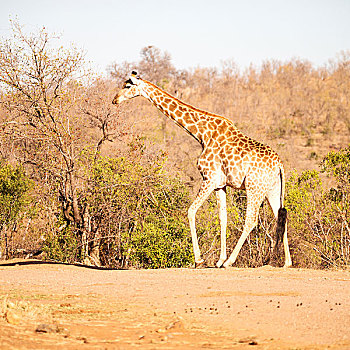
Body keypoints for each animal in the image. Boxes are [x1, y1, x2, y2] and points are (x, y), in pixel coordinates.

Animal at [112, 71, 292, 268]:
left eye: (127, 86)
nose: (114, 100)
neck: (201, 134)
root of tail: (280, 165)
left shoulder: (209, 178)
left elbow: (191, 211)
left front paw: (199, 259)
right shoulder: (220, 184)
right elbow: (222, 218)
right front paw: (219, 260)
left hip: (254, 188)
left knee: (251, 221)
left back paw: (232, 261)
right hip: (272, 189)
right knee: (281, 216)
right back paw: (285, 262)